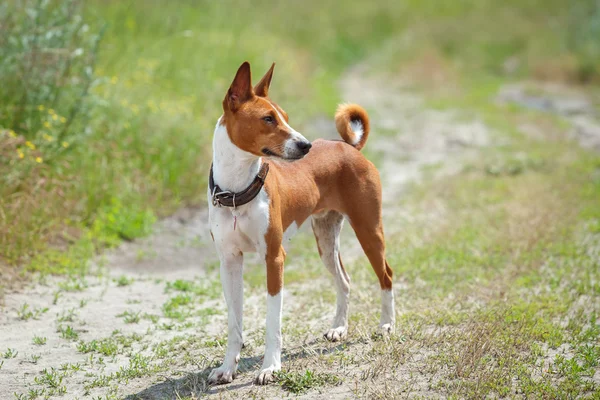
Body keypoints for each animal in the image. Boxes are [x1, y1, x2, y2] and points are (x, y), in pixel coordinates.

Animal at [206, 61, 394, 384]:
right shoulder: (229, 261)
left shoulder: (274, 258)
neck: (237, 191)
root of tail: (348, 146)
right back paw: (339, 328)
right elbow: (234, 324)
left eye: (285, 117)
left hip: (369, 231)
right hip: (326, 241)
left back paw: (386, 325)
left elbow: (273, 321)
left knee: (387, 276)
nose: (305, 145)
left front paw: (270, 367)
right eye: (268, 119)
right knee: (344, 280)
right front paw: (227, 367)